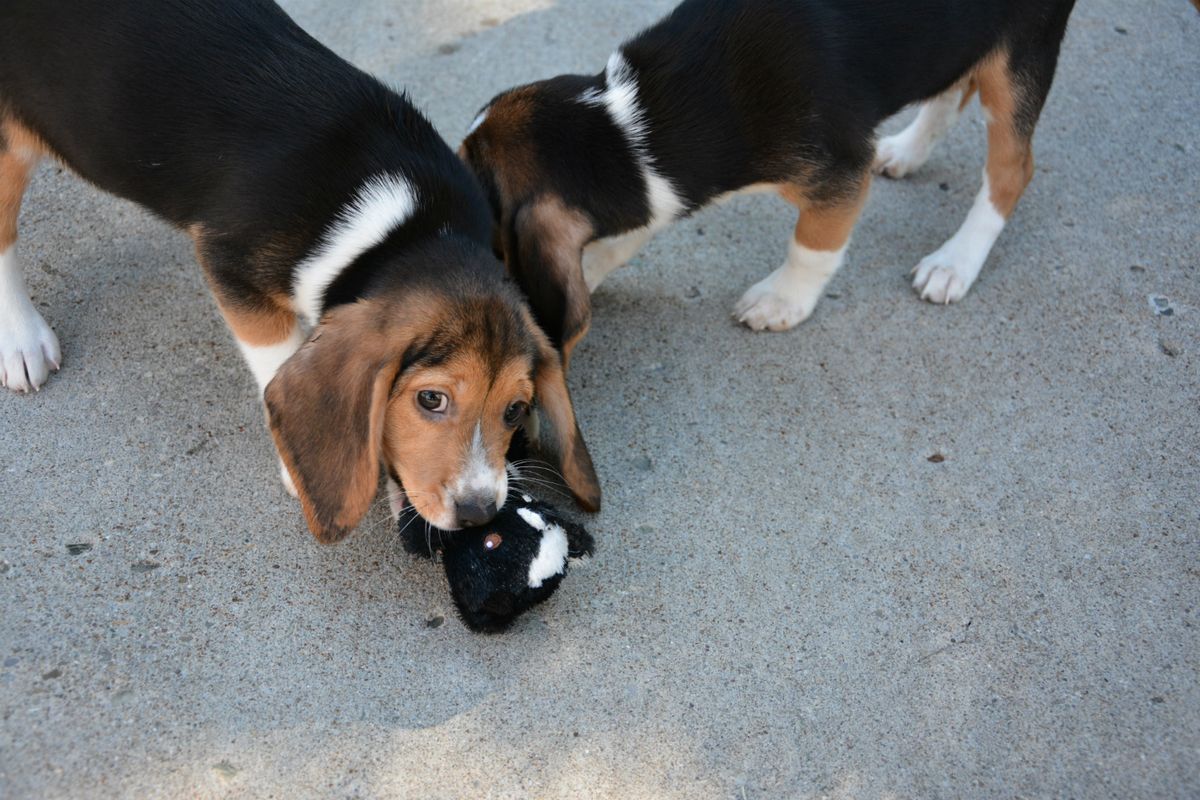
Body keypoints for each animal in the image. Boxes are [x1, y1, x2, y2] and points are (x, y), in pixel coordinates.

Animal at [0, 0, 600, 544]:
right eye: (431, 400)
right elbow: (276, 361)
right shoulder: (234, 273)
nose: (479, 514)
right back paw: (23, 342)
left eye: (516, 409)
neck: (405, 232)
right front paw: (302, 469)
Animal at [458, 0, 1080, 357]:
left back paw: (955, 261)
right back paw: (906, 150)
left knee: (1011, 169)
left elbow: (812, 247)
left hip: (1019, 56)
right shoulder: (661, 185)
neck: (633, 128)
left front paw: (783, 301)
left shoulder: (838, 170)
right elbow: (627, 231)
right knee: (951, 94)